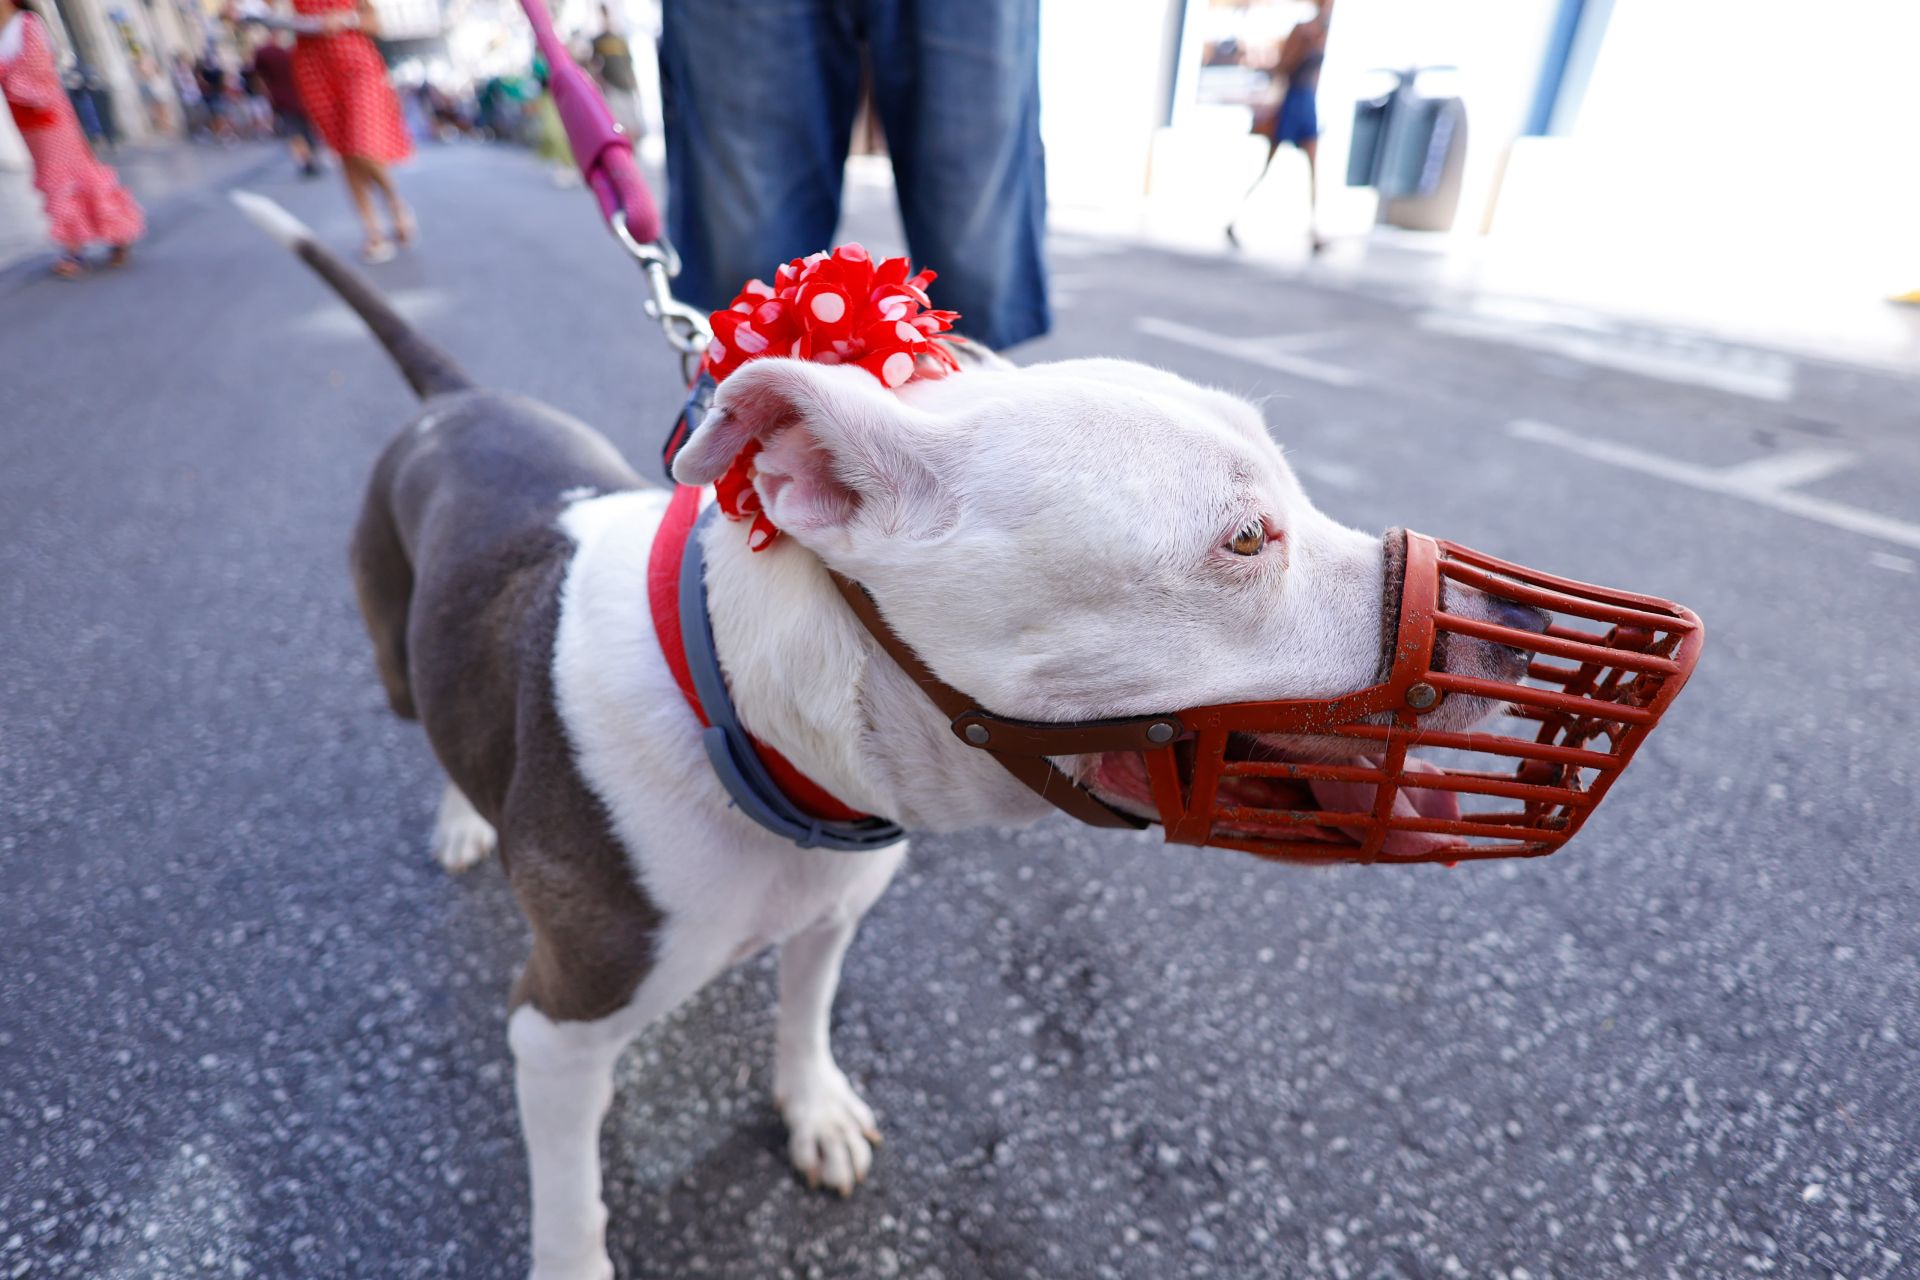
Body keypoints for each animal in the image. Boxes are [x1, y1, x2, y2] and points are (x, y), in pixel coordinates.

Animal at [236, 189, 1543, 1280]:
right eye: (1243, 539)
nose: (1519, 624)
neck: (742, 718)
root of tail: (456, 398)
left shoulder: (832, 906)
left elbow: (804, 1010)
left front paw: (811, 1105)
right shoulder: (555, 1030)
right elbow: (572, 1198)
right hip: (396, 648)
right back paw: (466, 815)